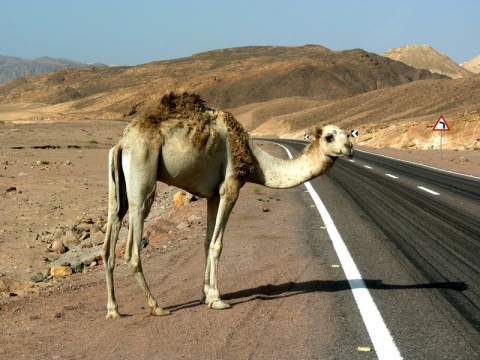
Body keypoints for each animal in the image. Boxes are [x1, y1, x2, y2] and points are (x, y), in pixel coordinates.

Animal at [101, 92, 354, 318]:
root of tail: (123, 142)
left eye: (347, 134)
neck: (255, 160)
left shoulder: (213, 195)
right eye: (329, 137)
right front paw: (217, 299)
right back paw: (156, 306)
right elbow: (217, 244)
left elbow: (206, 241)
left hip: (117, 182)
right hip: (142, 173)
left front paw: (204, 295)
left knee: (111, 231)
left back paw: (114, 310)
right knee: (133, 247)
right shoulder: (230, 187)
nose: (350, 148)